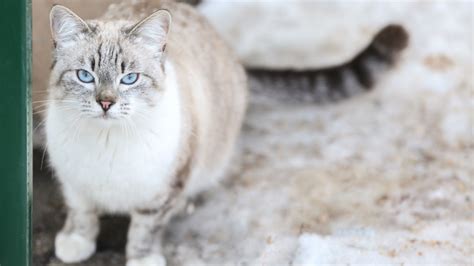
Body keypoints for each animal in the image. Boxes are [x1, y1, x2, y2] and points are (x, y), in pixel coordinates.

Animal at [43, 1, 408, 264]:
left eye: (129, 78)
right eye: (85, 76)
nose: (106, 103)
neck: (106, 142)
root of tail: (236, 59)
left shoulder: (163, 192)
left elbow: (144, 231)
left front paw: (143, 259)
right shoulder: (74, 182)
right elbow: (82, 214)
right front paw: (75, 243)